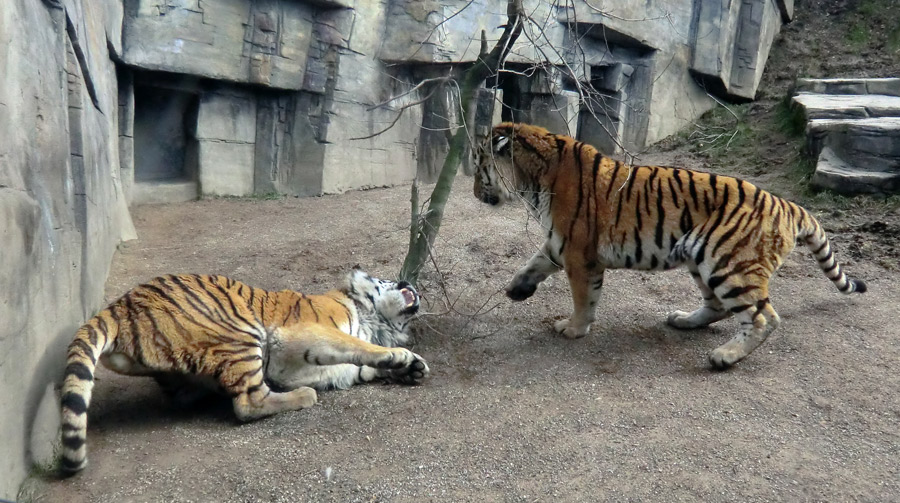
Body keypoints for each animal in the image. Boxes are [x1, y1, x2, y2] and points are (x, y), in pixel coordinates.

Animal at [59, 270, 428, 474]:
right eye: (387, 278)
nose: (410, 280)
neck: (373, 320)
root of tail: (119, 306)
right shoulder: (302, 335)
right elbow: (357, 348)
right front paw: (401, 356)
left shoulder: (291, 367)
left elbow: (351, 368)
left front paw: (410, 369)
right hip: (241, 332)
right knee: (248, 404)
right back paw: (304, 397)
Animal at [474, 123, 868, 370]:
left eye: (478, 166)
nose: (476, 193)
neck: (532, 178)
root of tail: (787, 204)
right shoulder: (561, 242)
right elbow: (533, 262)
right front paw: (516, 289)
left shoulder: (577, 252)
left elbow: (583, 299)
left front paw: (573, 329)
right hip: (701, 256)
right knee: (718, 307)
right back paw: (683, 320)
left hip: (727, 261)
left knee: (762, 317)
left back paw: (724, 357)